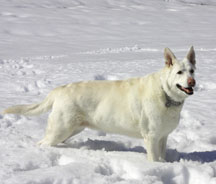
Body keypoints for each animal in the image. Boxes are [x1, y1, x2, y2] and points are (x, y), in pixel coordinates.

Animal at [2, 46, 196, 162]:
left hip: (72, 129)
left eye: (192, 70)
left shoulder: (163, 136)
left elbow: (162, 157)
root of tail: (58, 90)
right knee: (42, 143)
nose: (192, 82)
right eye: (179, 72)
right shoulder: (151, 137)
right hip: (60, 128)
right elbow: (154, 159)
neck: (165, 93)